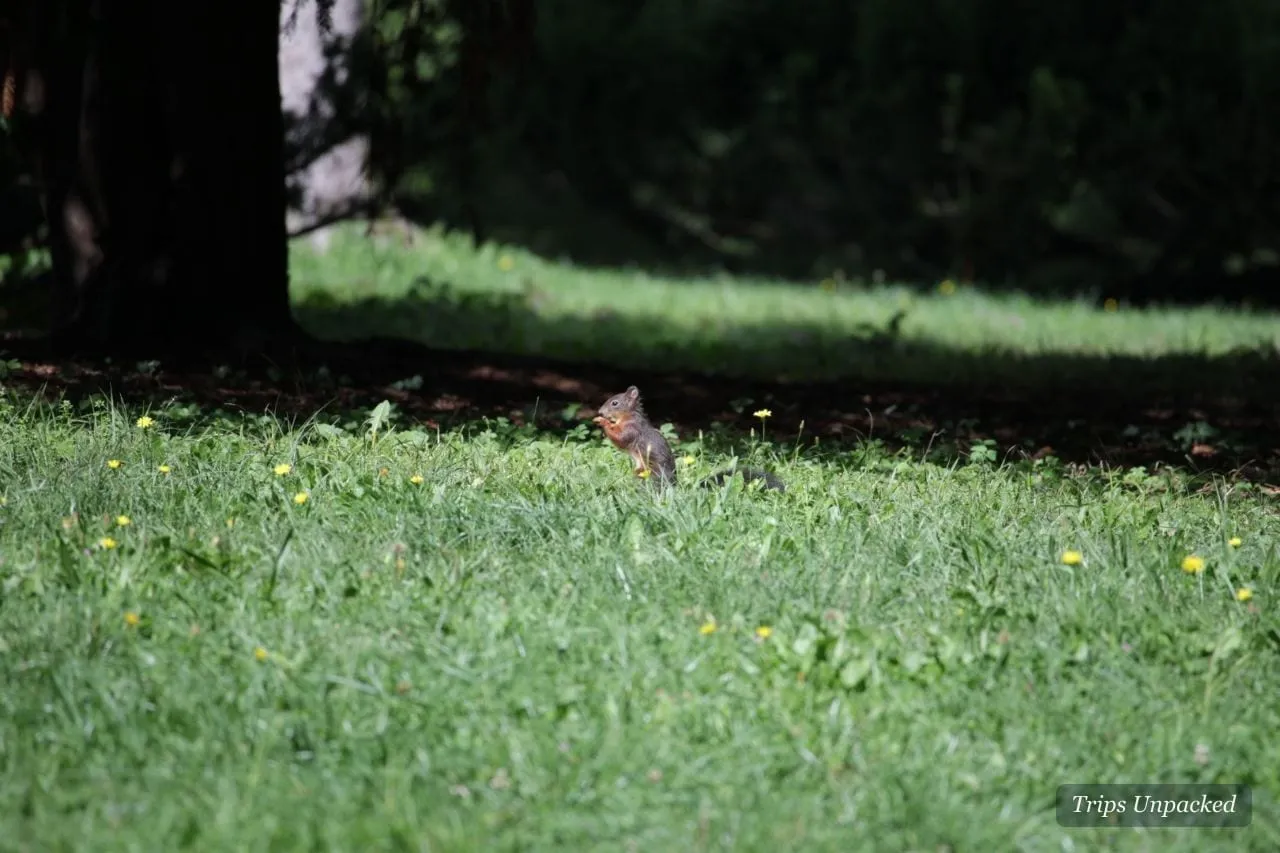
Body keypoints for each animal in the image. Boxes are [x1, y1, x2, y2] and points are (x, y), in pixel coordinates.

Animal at [592, 385, 785, 491]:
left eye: (615, 403)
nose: (600, 412)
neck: (629, 416)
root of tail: (674, 484)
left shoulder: (633, 430)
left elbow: (621, 438)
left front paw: (603, 422)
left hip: (651, 471)